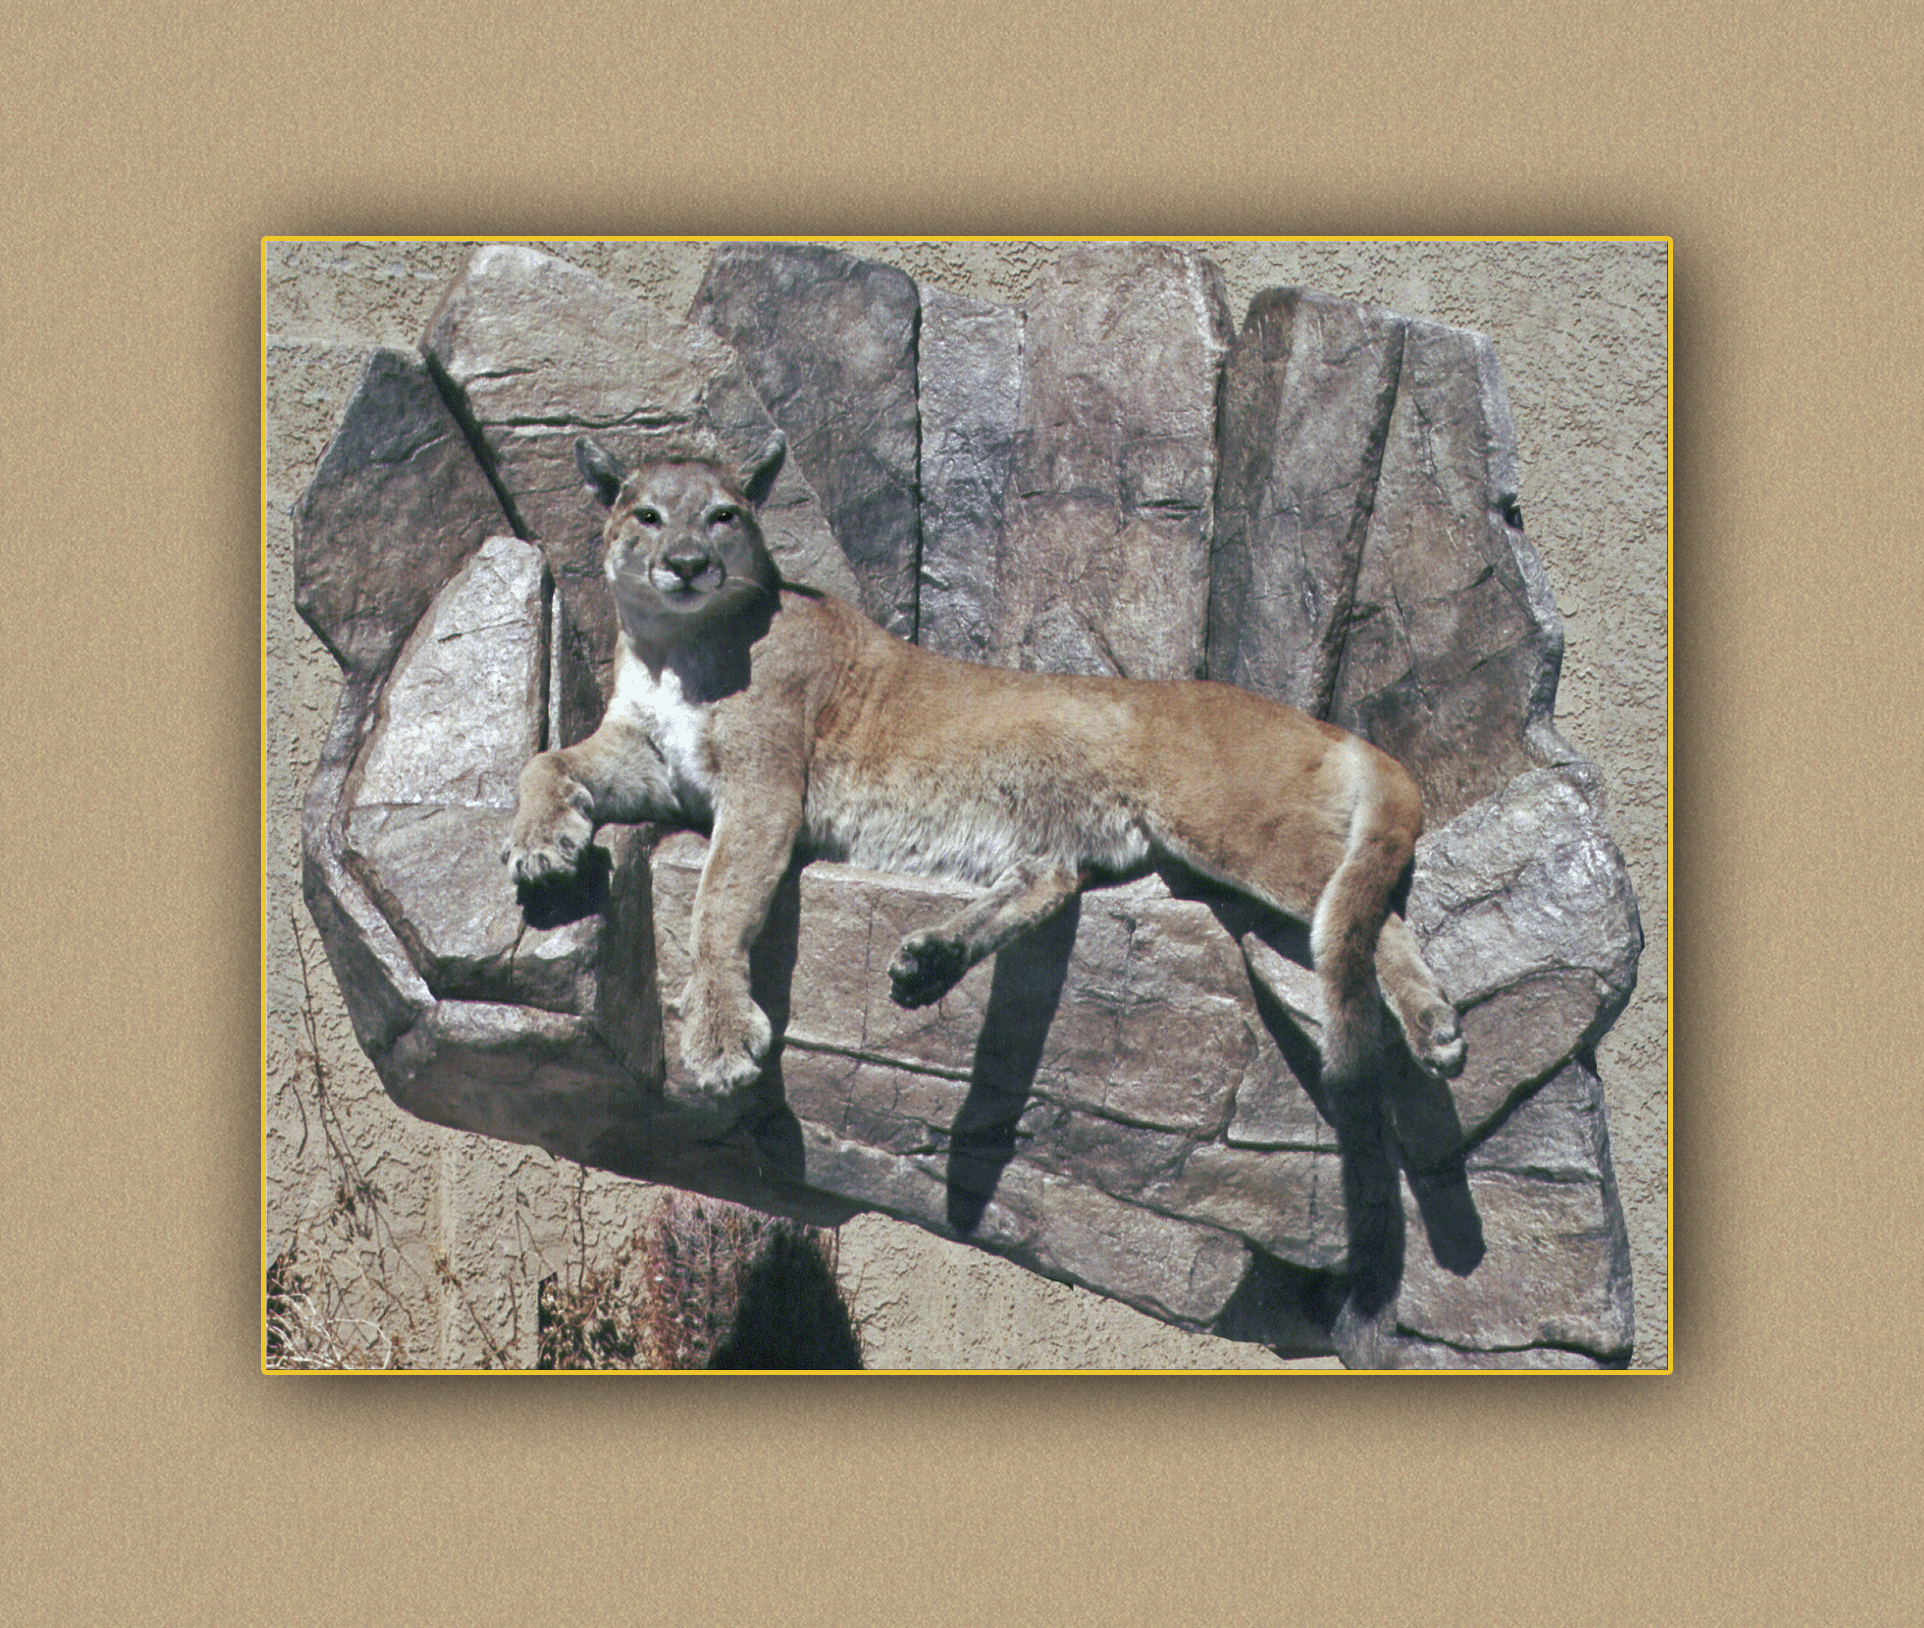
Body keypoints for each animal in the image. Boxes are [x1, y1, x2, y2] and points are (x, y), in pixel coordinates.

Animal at [505, 431, 1465, 1099]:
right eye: (647, 514)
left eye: (723, 514)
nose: (687, 564)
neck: (671, 649)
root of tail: (1330, 726)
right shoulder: (653, 762)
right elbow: (545, 759)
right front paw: (539, 846)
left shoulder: (761, 785)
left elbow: (717, 905)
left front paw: (715, 1038)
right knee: (1055, 880)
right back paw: (934, 957)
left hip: (1233, 827)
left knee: (1366, 913)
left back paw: (1433, 1028)